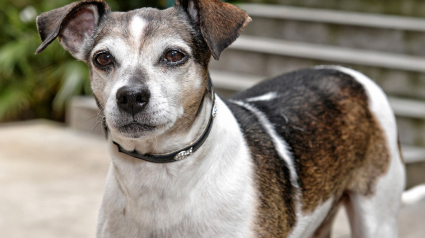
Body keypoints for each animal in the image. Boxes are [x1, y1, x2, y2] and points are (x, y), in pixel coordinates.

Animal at [35, 0, 404, 238]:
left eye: (174, 55)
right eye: (102, 58)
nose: (130, 97)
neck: (160, 176)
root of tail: (348, 72)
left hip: (377, 215)